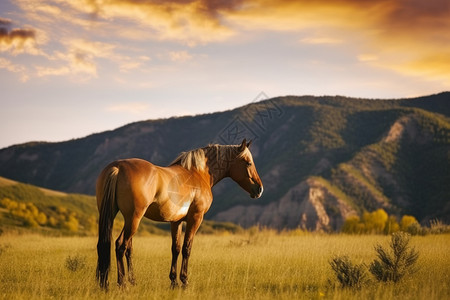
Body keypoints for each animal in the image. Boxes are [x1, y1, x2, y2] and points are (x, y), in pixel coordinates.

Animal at [96, 138, 264, 288]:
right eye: (248, 163)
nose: (259, 189)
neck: (198, 173)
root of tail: (118, 167)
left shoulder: (176, 222)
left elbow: (175, 249)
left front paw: (173, 281)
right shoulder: (195, 219)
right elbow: (186, 248)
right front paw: (184, 280)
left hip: (120, 217)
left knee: (113, 246)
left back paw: (115, 282)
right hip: (133, 218)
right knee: (121, 246)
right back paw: (122, 284)